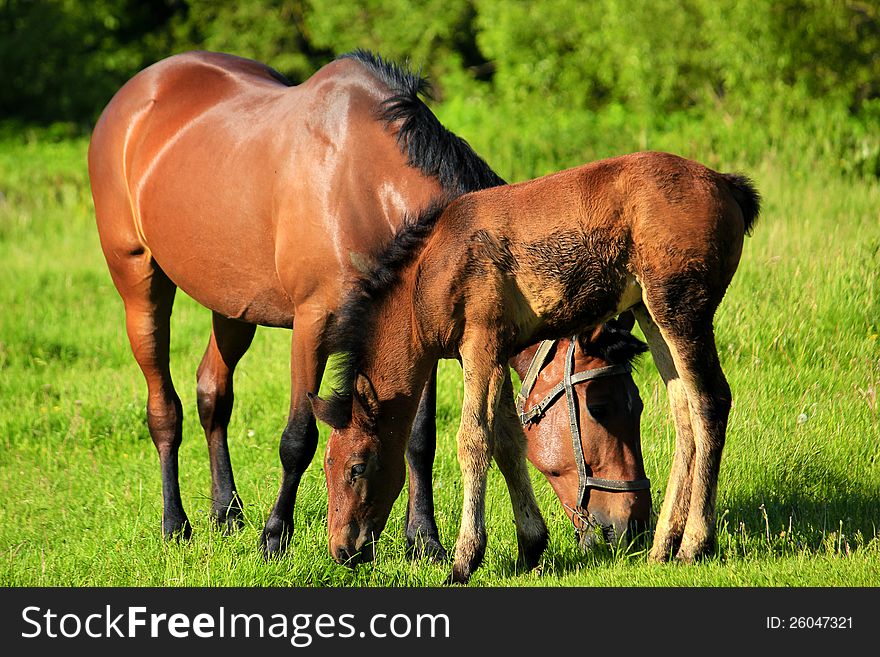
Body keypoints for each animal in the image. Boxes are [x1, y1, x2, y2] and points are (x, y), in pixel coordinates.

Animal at [312, 151, 760, 580]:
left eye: (357, 467)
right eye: (326, 464)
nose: (341, 548)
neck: (431, 270)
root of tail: (726, 183)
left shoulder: (480, 344)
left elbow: (474, 440)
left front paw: (465, 559)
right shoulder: (495, 354)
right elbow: (509, 442)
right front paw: (530, 545)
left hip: (682, 311)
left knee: (710, 403)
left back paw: (694, 543)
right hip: (651, 313)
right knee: (683, 411)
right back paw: (662, 545)